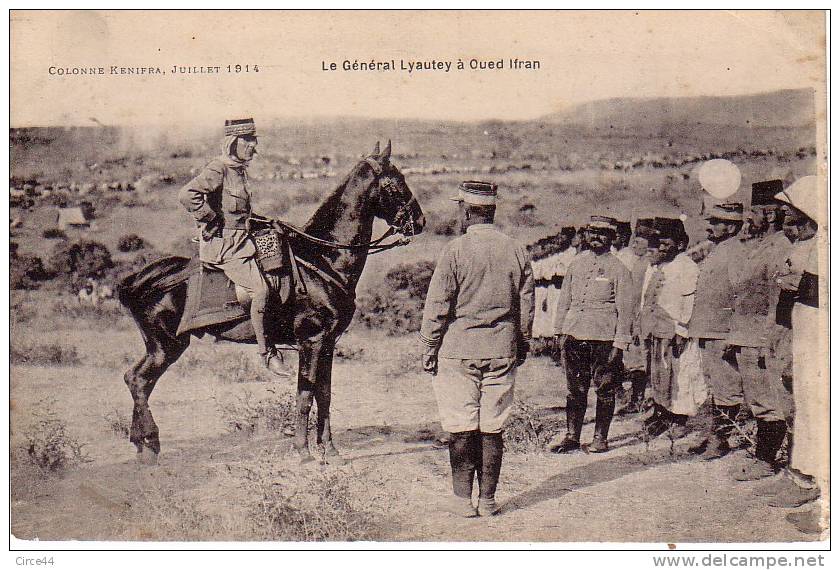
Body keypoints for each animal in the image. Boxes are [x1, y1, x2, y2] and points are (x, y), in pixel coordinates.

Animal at [118, 141, 426, 462]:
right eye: (397, 182)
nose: (419, 221)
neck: (323, 259)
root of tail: (139, 279)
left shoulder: (328, 343)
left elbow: (325, 395)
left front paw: (330, 450)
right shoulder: (312, 341)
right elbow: (305, 394)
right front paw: (303, 452)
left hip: (161, 347)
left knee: (136, 380)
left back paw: (143, 444)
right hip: (165, 346)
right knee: (138, 380)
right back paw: (149, 443)